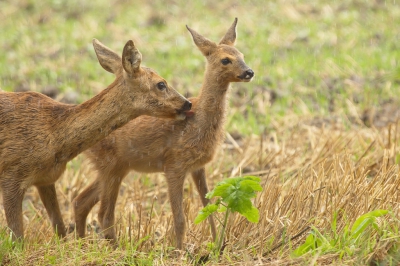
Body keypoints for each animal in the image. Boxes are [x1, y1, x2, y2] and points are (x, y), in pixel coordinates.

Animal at [0, 39, 191, 241]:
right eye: (161, 84)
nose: (187, 103)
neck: (54, 135)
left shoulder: (46, 179)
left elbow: (59, 228)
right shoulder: (11, 175)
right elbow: (17, 236)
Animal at [72, 18, 253, 249]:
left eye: (242, 55)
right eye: (225, 60)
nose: (249, 72)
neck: (198, 123)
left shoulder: (198, 166)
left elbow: (208, 207)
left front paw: (217, 245)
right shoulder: (174, 165)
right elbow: (180, 218)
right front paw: (180, 251)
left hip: (117, 167)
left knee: (81, 201)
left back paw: (80, 243)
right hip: (110, 166)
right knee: (103, 213)